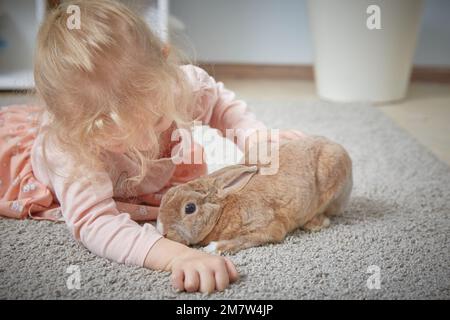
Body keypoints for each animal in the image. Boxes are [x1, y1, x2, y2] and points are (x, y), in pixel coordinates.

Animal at [156, 136, 354, 254]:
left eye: (190, 208)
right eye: (166, 196)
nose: (162, 231)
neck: (223, 209)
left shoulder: (267, 227)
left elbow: (247, 239)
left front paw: (212, 248)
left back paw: (315, 224)